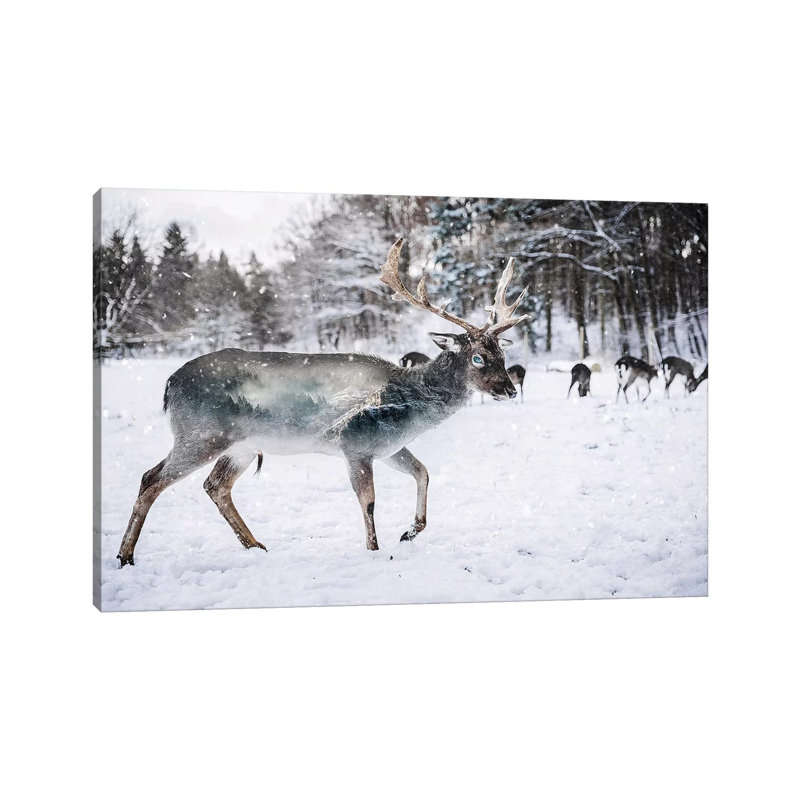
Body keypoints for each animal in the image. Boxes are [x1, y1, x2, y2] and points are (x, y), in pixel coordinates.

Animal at [117, 238, 529, 566]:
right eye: (477, 358)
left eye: (502, 353)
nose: (509, 391)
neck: (407, 405)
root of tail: (169, 384)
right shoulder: (355, 444)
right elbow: (369, 501)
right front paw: (375, 551)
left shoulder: (389, 446)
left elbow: (424, 472)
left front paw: (410, 531)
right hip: (201, 433)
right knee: (151, 477)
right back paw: (126, 555)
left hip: (242, 446)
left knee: (215, 486)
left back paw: (256, 546)